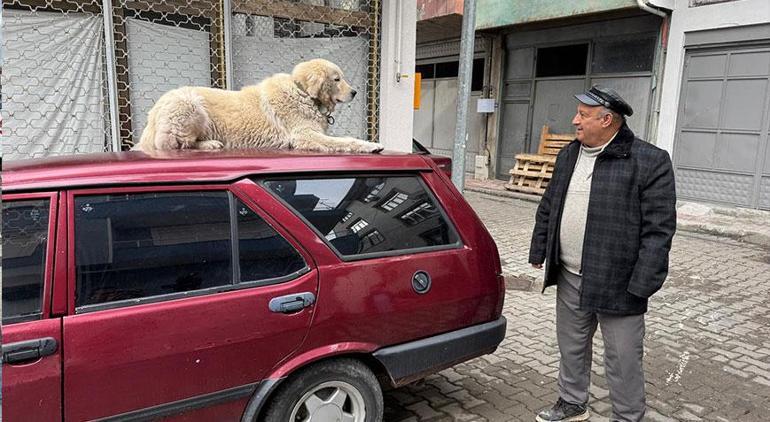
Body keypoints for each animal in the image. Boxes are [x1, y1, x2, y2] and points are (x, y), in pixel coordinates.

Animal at [135, 58, 384, 152]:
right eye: (337, 79)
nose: (354, 92)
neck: (302, 92)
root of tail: (153, 113)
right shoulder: (303, 135)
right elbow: (345, 140)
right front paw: (371, 145)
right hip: (190, 103)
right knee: (171, 144)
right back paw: (210, 144)